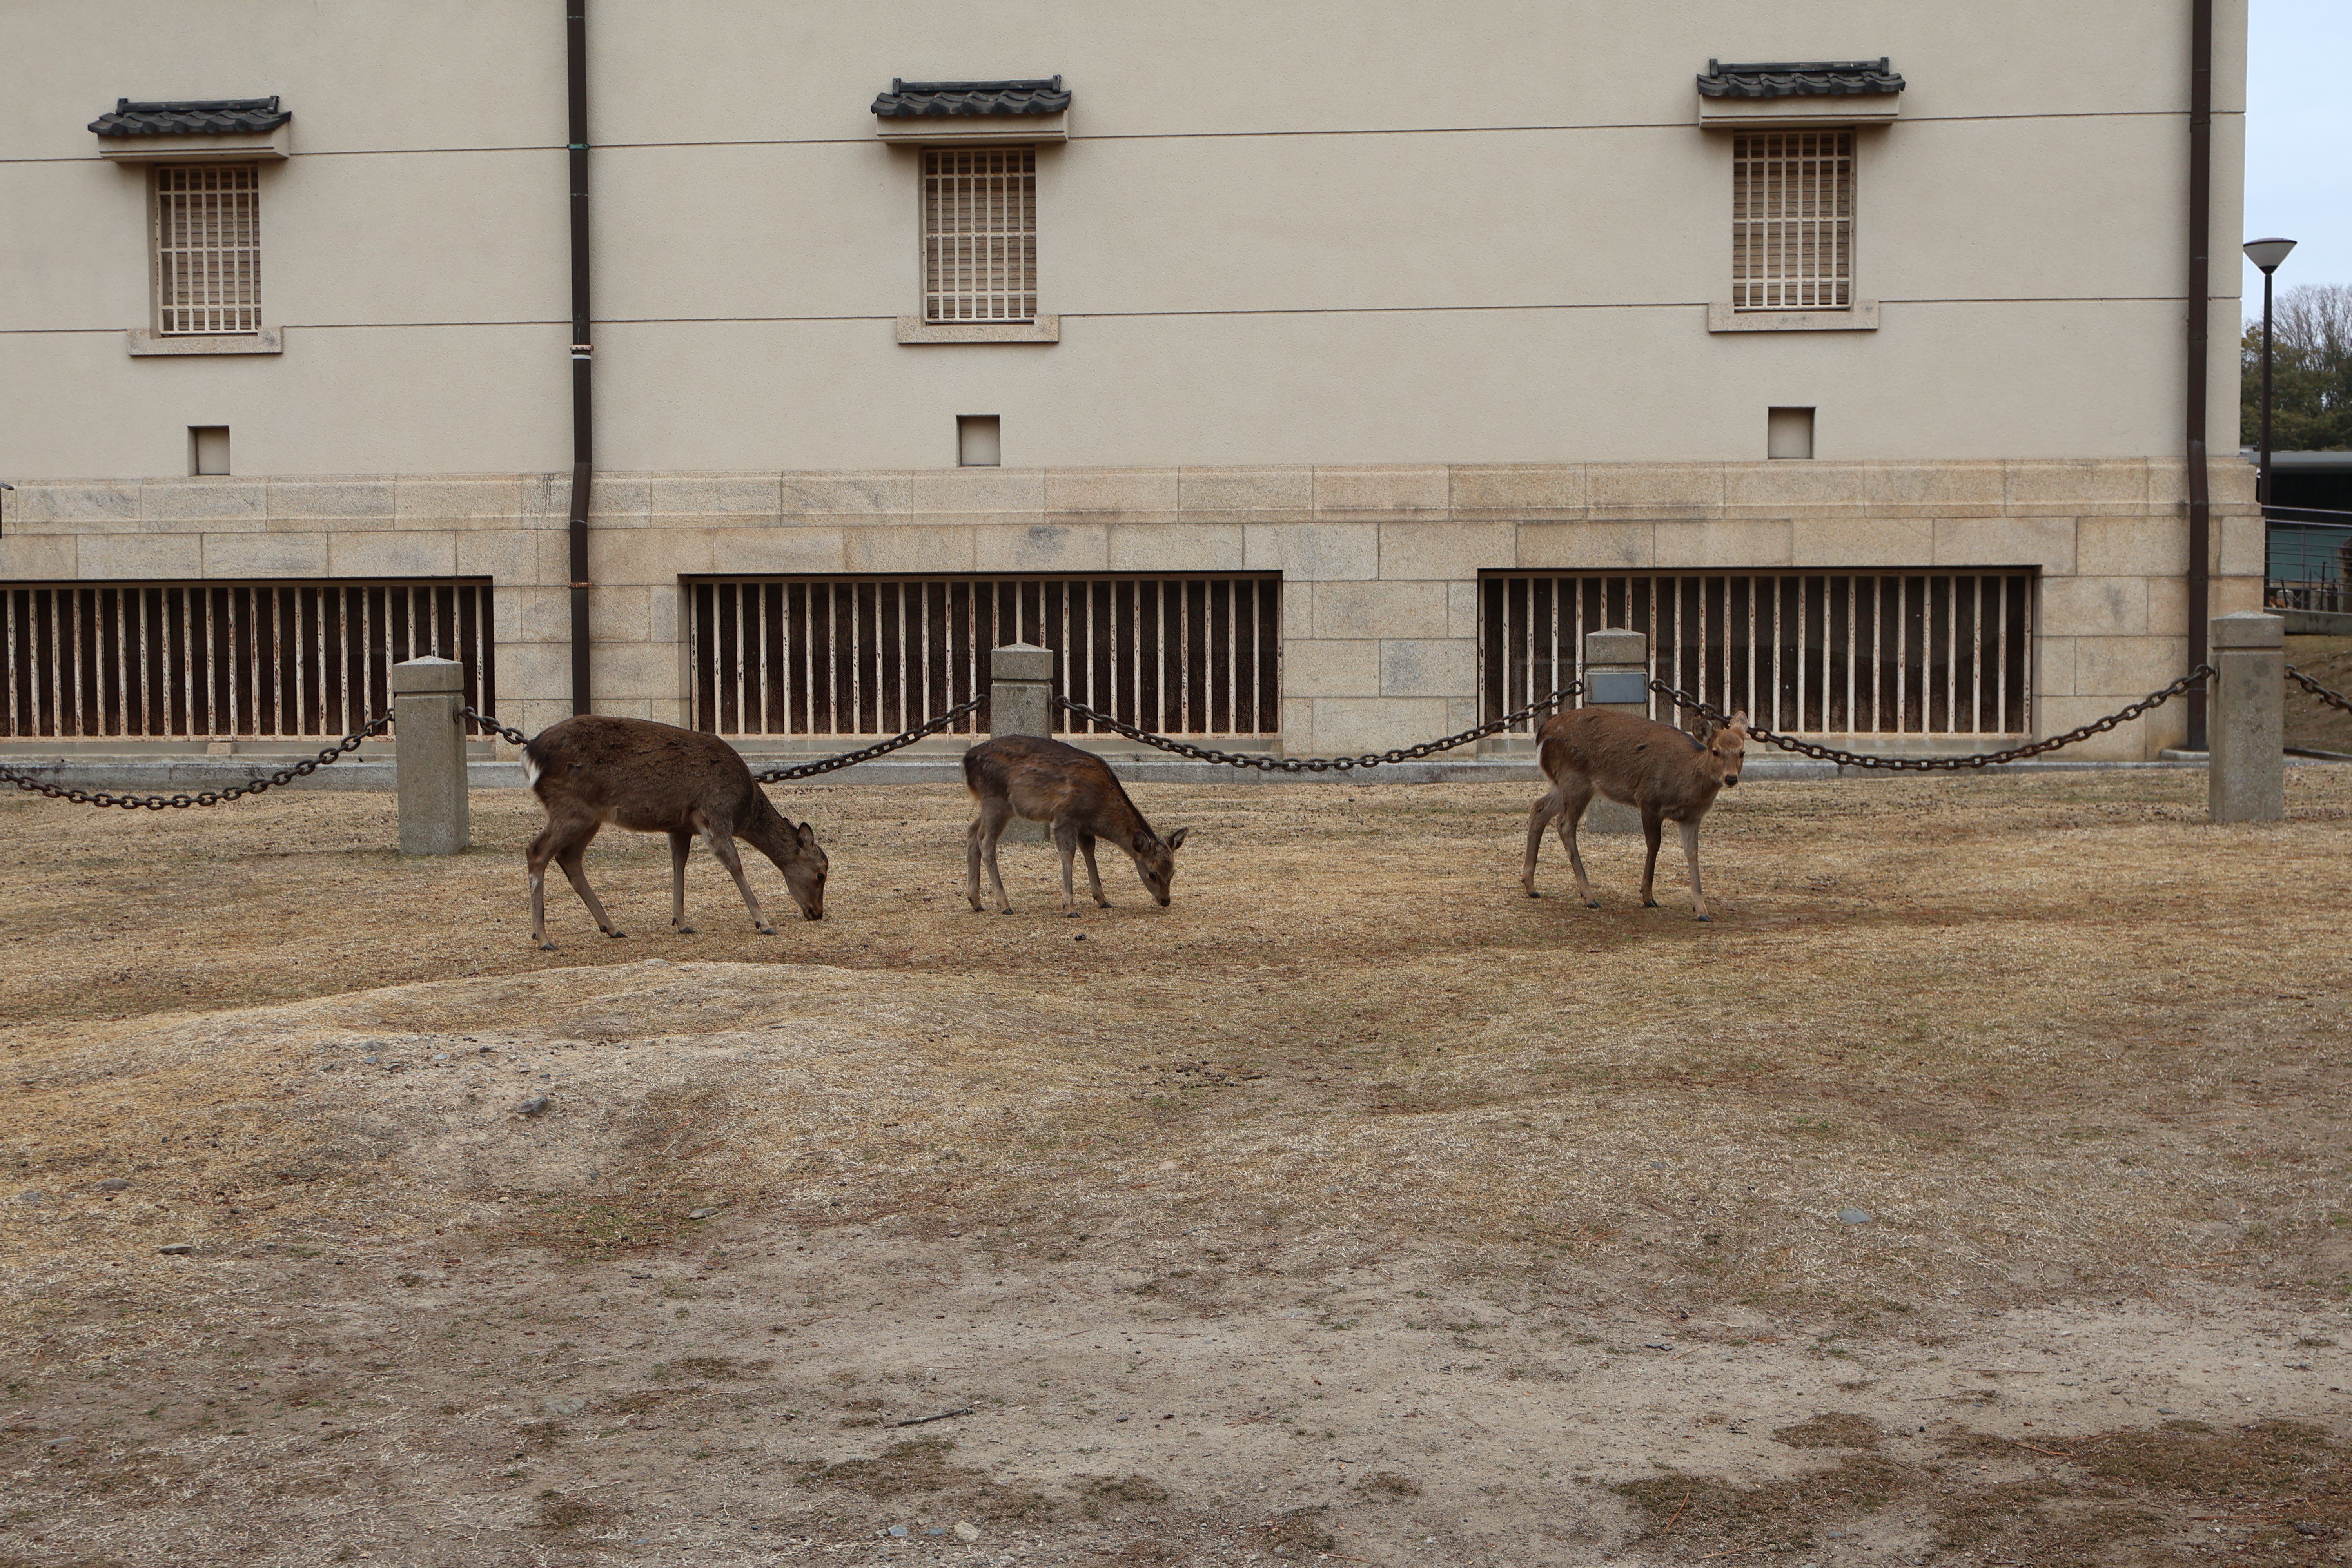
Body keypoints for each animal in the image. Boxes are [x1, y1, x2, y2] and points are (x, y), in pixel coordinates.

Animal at [520, 715, 827, 950]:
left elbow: (679, 863)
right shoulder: (714, 812)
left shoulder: (681, 825)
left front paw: (681, 922)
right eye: (821, 874)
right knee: (537, 851)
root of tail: (531, 754)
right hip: (571, 807)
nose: (817, 913)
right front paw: (764, 923)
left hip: (590, 816)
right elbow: (734, 864)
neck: (744, 806)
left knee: (569, 858)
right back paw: (543, 938)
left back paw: (611, 927)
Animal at [962, 734, 1189, 916]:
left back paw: (976, 901)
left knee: (972, 831)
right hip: (996, 799)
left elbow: (1090, 852)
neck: (1098, 806)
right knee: (986, 840)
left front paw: (1103, 899)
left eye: (1173, 872)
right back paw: (1004, 904)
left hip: (995, 804)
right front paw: (1070, 907)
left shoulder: (1084, 827)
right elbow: (1068, 854)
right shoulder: (1065, 817)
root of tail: (967, 760)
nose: (1165, 900)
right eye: (1152, 874)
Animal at [1520, 705, 1749, 921]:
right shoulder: (1649, 800)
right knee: (1565, 825)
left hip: (1562, 784)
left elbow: (1692, 853)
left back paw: (1531, 886)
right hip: (1575, 779)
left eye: (1742, 753)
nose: (1731, 778)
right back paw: (1589, 897)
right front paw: (1647, 896)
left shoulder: (1692, 817)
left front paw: (1701, 910)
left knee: (1539, 808)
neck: (1686, 782)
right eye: (1716, 751)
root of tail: (1542, 734)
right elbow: (1654, 844)